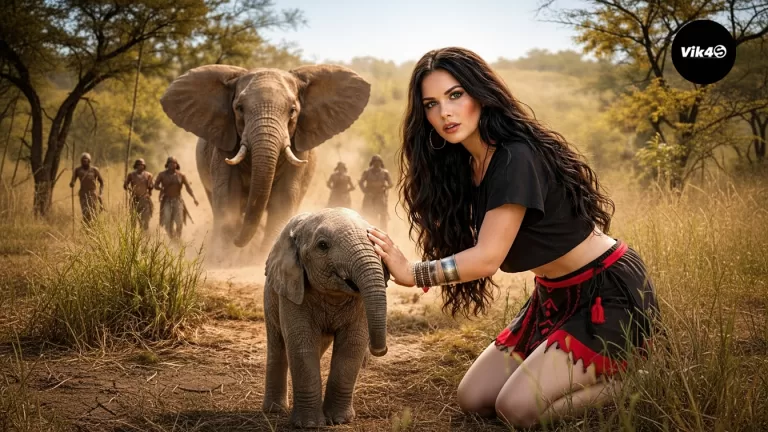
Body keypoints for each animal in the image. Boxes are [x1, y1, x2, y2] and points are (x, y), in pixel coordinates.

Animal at [159, 64, 371, 254]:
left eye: (292, 110)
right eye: (239, 108)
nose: (237, 241)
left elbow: (283, 197)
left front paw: (262, 255)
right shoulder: (223, 144)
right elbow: (228, 192)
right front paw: (224, 257)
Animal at [262, 207, 389, 428]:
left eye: (374, 240)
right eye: (322, 245)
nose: (379, 350)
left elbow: (352, 345)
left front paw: (339, 420)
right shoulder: (292, 288)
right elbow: (301, 343)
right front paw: (308, 425)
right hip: (271, 294)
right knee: (278, 345)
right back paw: (274, 410)